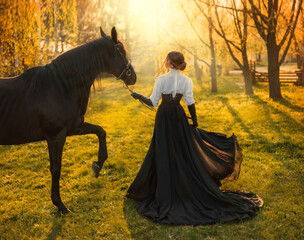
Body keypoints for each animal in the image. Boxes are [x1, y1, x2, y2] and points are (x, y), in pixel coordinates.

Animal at [0, 27, 137, 213]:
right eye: (121, 51)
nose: (133, 76)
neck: (59, 87)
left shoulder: (73, 128)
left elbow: (101, 131)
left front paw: (97, 165)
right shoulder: (55, 136)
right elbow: (56, 168)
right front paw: (60, 204)